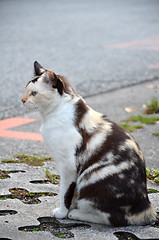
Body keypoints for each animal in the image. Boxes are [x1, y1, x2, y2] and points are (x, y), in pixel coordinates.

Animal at [21, 62, 157, 227]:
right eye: (26, 90)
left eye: (34, 93)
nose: (22, 100)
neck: (54, 114)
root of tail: (145, 206)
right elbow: (72, 194)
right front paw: (69, 208)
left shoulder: (68, 166)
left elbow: (65, 193)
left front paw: (63, 213)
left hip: (92, 180)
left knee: (114, 218)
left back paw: (77, 214)